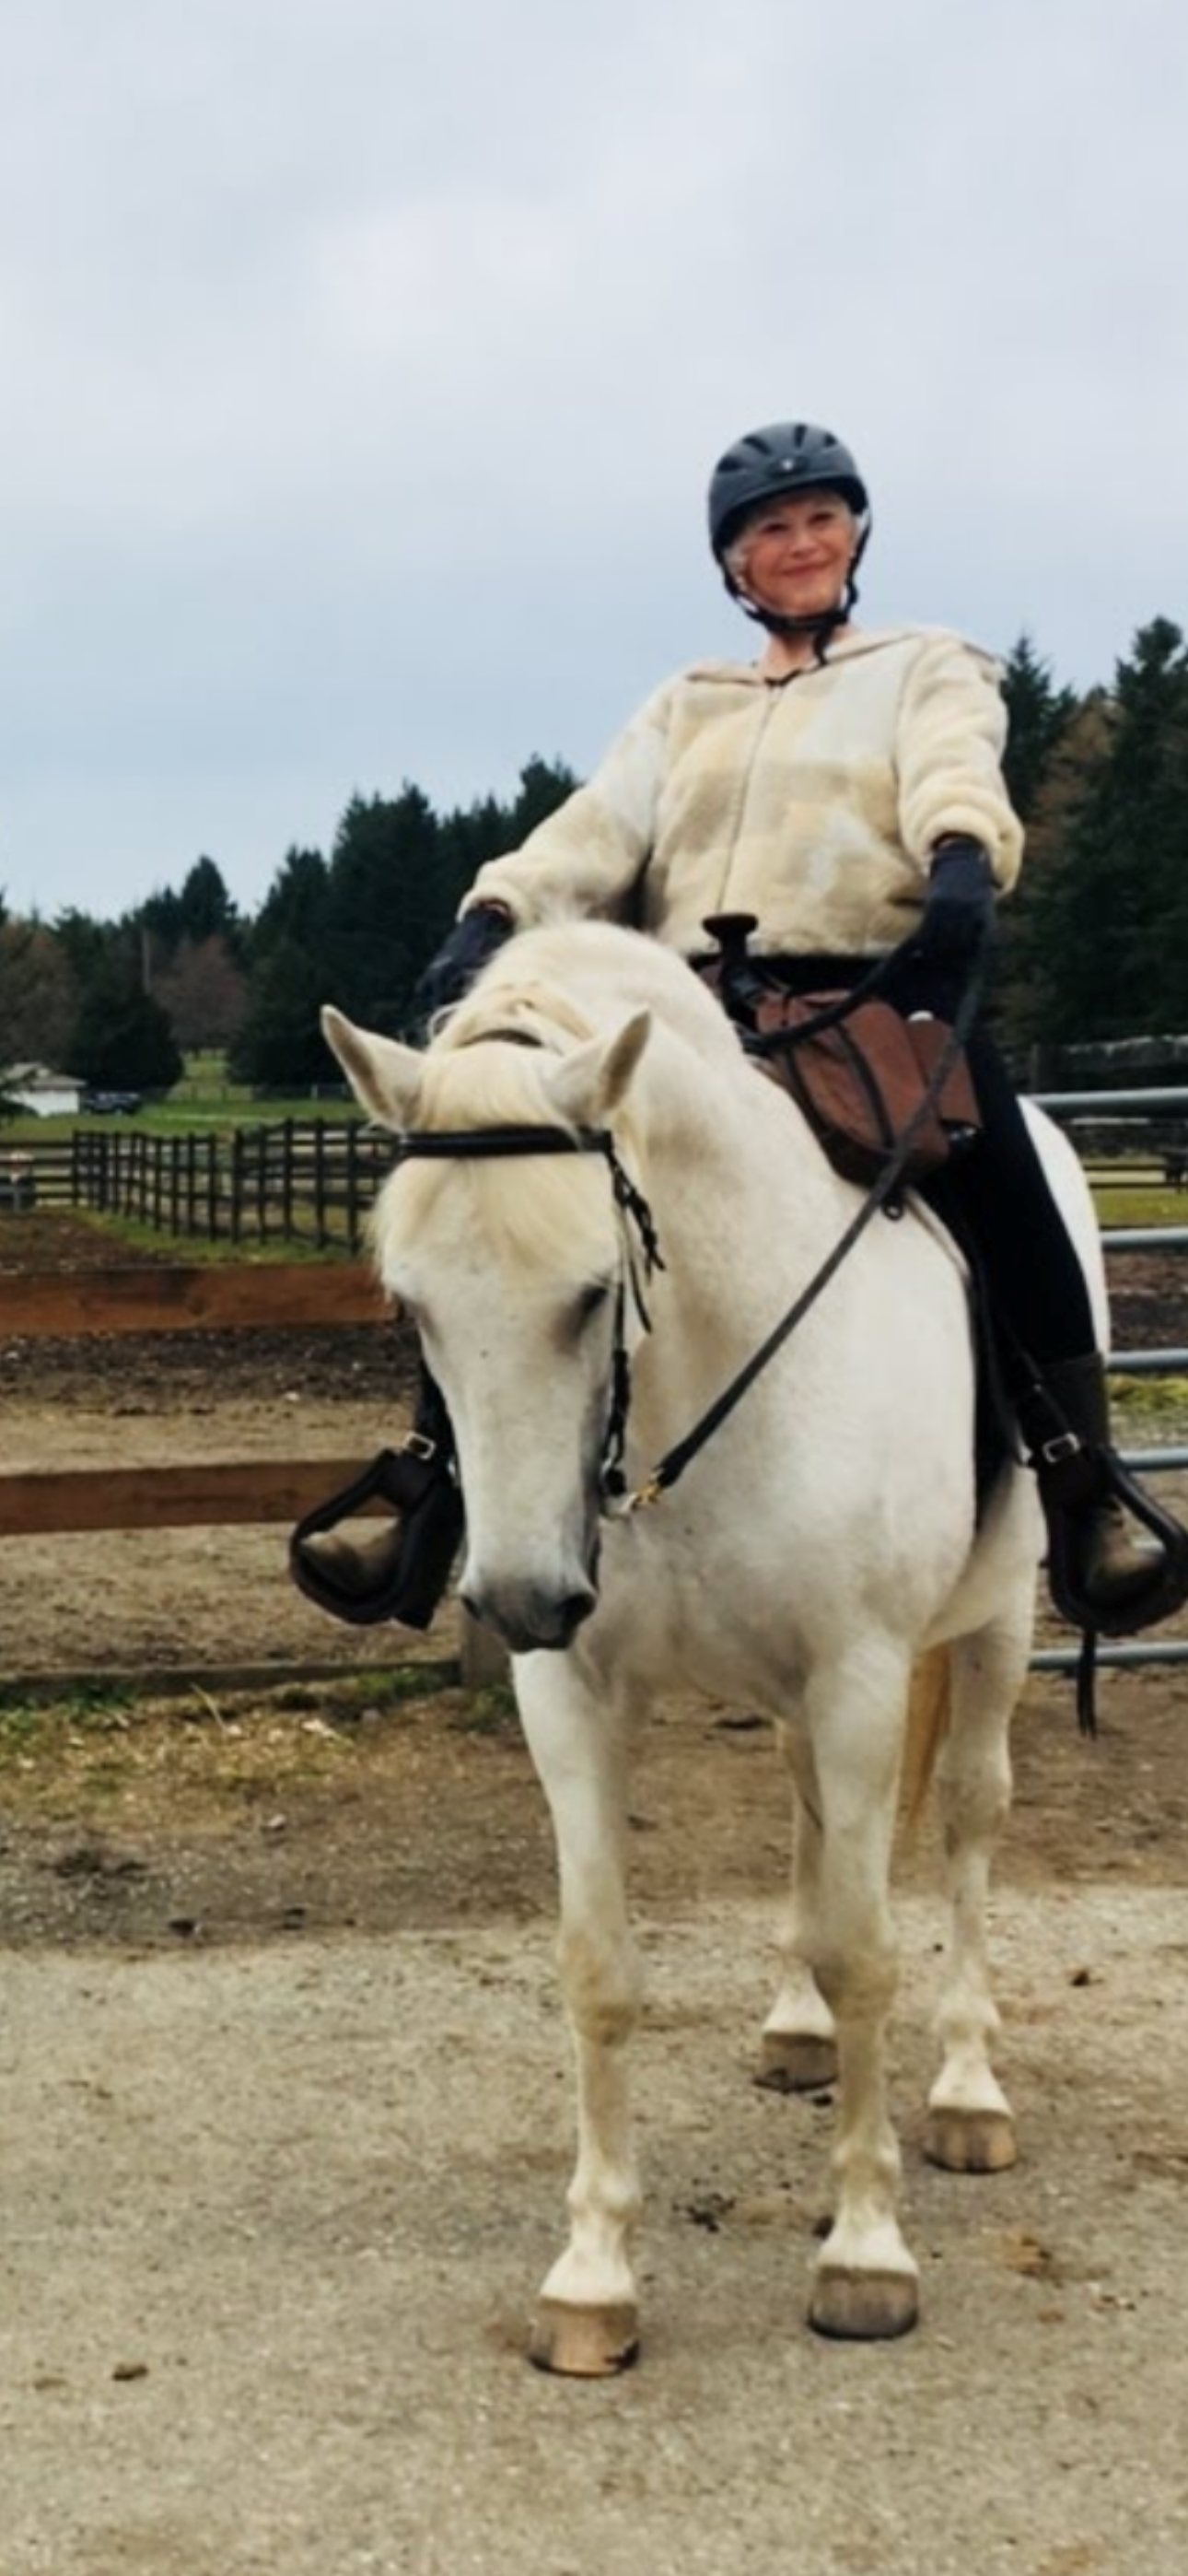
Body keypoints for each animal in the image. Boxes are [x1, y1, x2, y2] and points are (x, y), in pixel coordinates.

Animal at [322, 920, 1106, 2376]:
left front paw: (865, 2252)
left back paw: (969, 2088)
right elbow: (599, 1971)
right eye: (412, 1307)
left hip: (993, 1633)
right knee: (810, 1821)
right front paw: (591, 2276)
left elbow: (869, 1950)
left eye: (590, 1293)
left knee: (969, 1819)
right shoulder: (572, 1695)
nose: (521, 1593)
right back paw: (797, 2030)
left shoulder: (860, 1677)